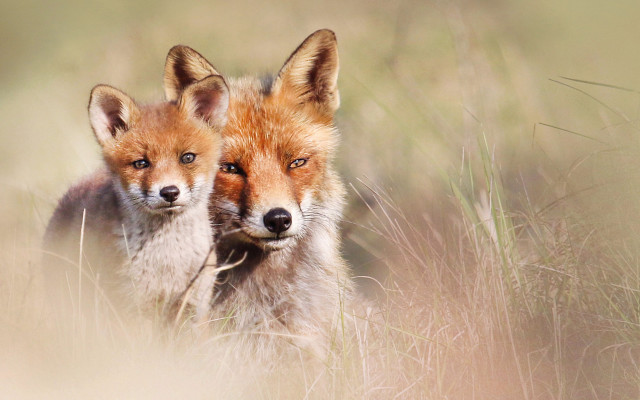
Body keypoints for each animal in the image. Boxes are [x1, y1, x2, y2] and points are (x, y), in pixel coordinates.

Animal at [43, 74, 229, 320]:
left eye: (187, 158)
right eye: (141, 163)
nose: (169, 192)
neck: (168, 262)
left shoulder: (195, 305)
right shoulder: (131, 307)